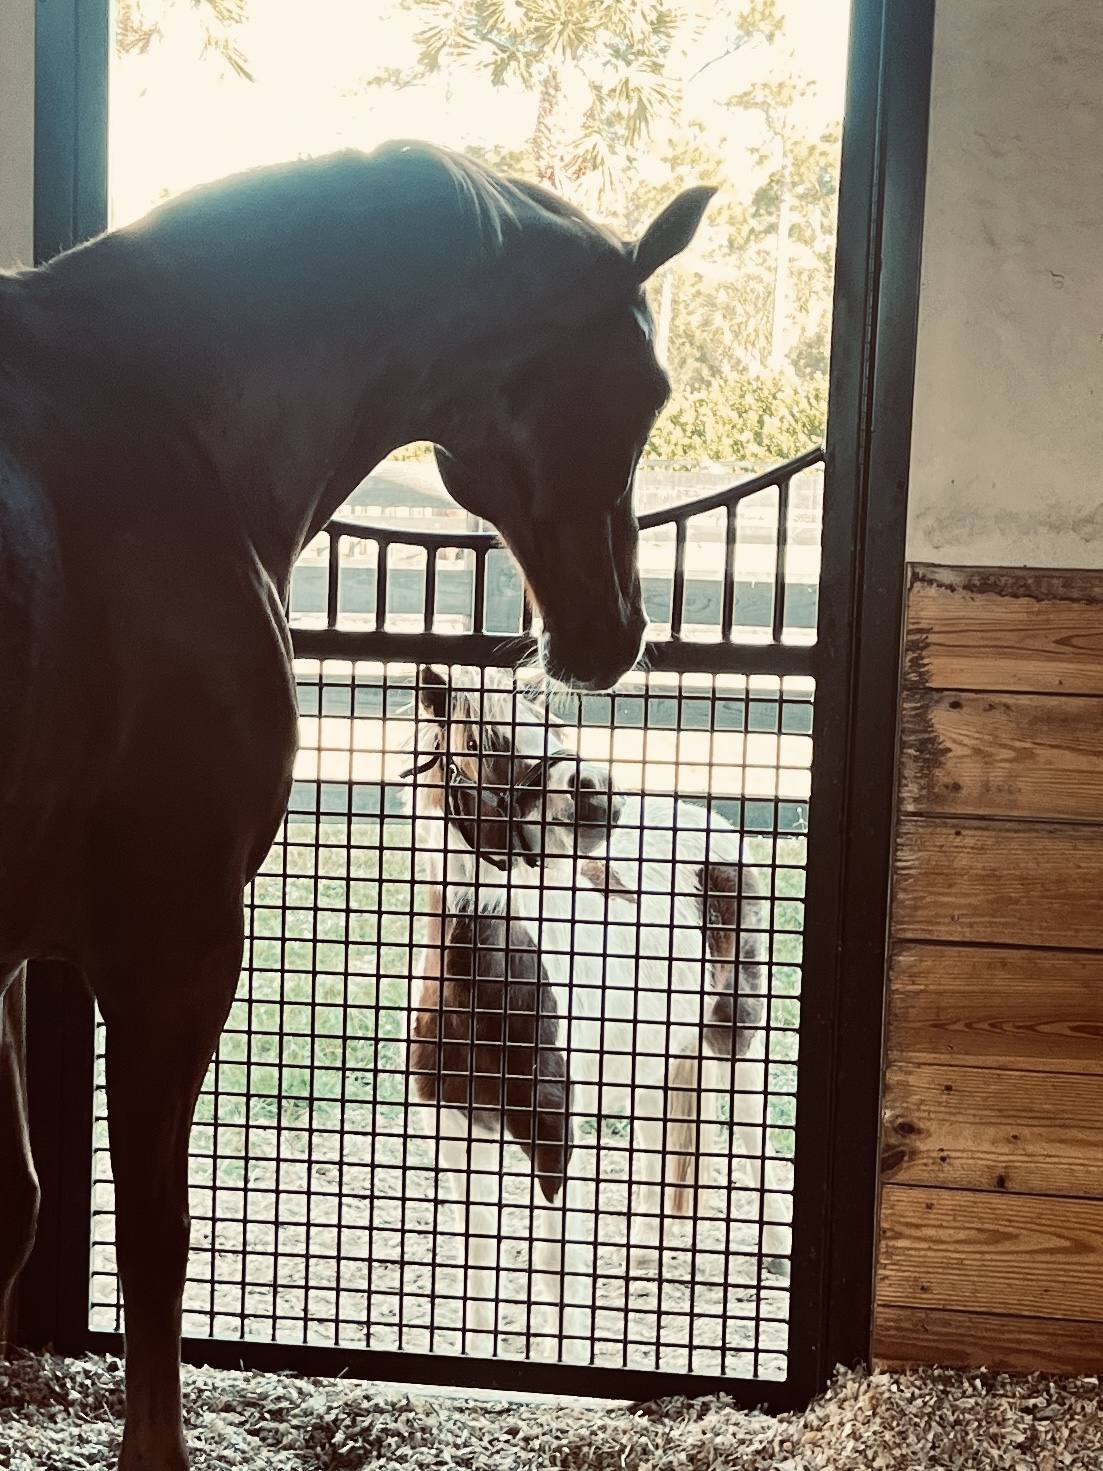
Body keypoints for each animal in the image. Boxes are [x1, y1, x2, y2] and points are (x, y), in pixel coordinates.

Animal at [0, 140, 715, 1468]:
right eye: (645, 388)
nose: (617, 634)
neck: (163, 416)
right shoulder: (174, 946)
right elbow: (156, 1245)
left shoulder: (14, 952)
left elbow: (13, 1203)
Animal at [406, 665, 789, 1357]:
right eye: (487, 740)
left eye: (552, 723)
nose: (598, 793)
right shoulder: (457, 1130)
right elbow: (477, 1262)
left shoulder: (555, 1134)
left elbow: (556, 1266)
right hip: (655, 1053)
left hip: (735, 1036)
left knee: (754, 1134)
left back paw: (773, 1257)